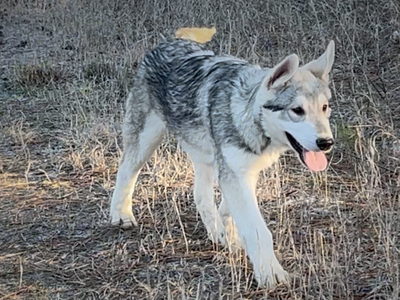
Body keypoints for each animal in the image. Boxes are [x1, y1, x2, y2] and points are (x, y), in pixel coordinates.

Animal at [111, 28, 336, 288]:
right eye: (297, 111)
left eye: (325, 108)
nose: (326, 143)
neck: (247, 115)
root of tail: (167, 43)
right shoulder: (234, 173)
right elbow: (259, 230)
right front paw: (270, 274)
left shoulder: (240, 171)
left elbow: (228, 210)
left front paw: (228, 235)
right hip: (145, 141)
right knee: (126, 171)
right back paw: (120, 215)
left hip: (204, 157)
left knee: (200, 195)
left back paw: (215, 232)